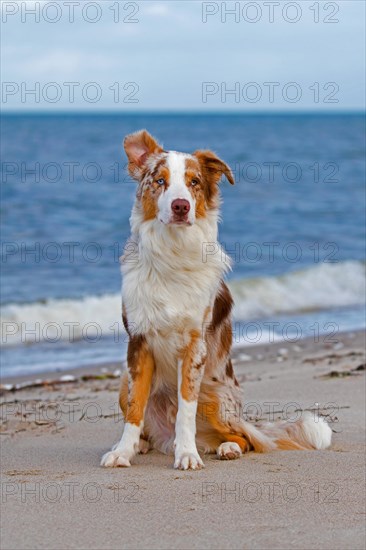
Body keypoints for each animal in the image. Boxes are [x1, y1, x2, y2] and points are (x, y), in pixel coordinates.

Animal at [101, 132, 332, 472]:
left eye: (194, 182)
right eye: (160, 181)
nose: (181, 206)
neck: (172, 254)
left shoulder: (195, 345)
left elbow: (185, 408)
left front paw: (187, 455)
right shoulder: (138, 342)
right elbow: (134, 408)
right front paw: (122, 451)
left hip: (217, 396)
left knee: (246, 438)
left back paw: (225, 447)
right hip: (122, 381)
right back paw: (144, 445)